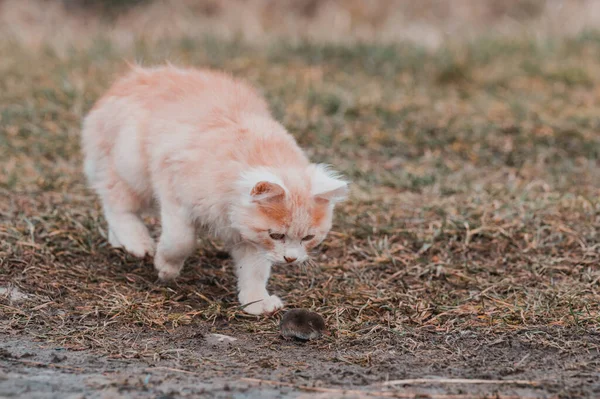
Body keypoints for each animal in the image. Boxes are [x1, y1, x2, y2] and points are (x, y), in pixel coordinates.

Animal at [82, 65, 350, 316]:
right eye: (277, 235)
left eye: (308, 237)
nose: (290, 259)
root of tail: (134, 76)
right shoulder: (174, 196)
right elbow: (181, 242)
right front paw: (166, 267)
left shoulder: (251, 239)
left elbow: (254, 272)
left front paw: (256, 302)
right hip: (131, 167)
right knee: (116, 205)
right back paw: (138, 243)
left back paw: (121, 241)